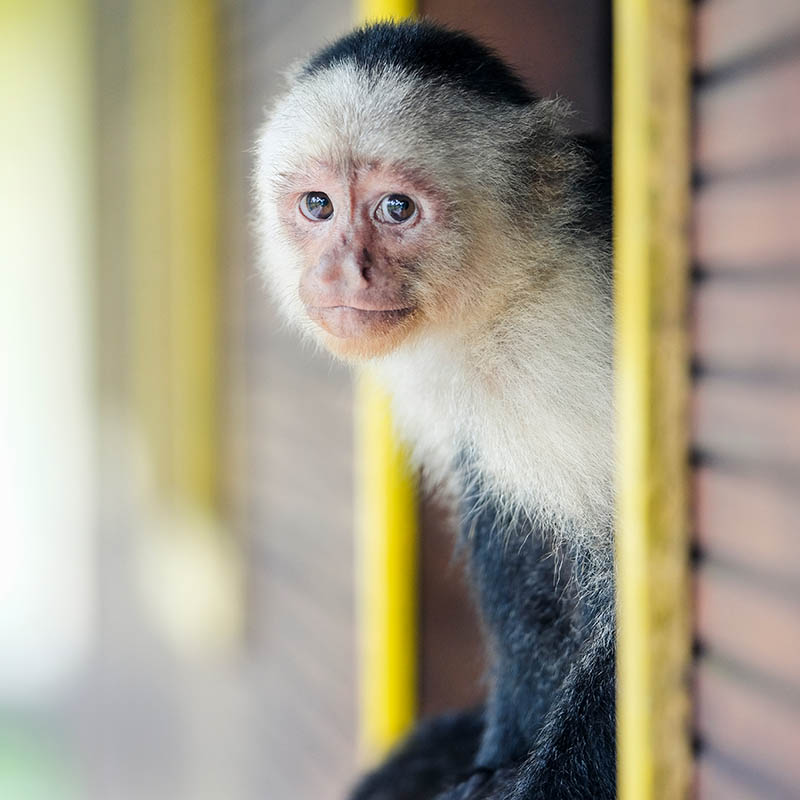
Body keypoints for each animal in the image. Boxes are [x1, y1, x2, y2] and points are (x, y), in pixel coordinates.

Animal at [255, 18, 612, 800]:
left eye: (397, 209)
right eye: (318, 205)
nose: (342, 272)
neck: (513, 298)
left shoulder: (579, 342)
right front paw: (493, 758)